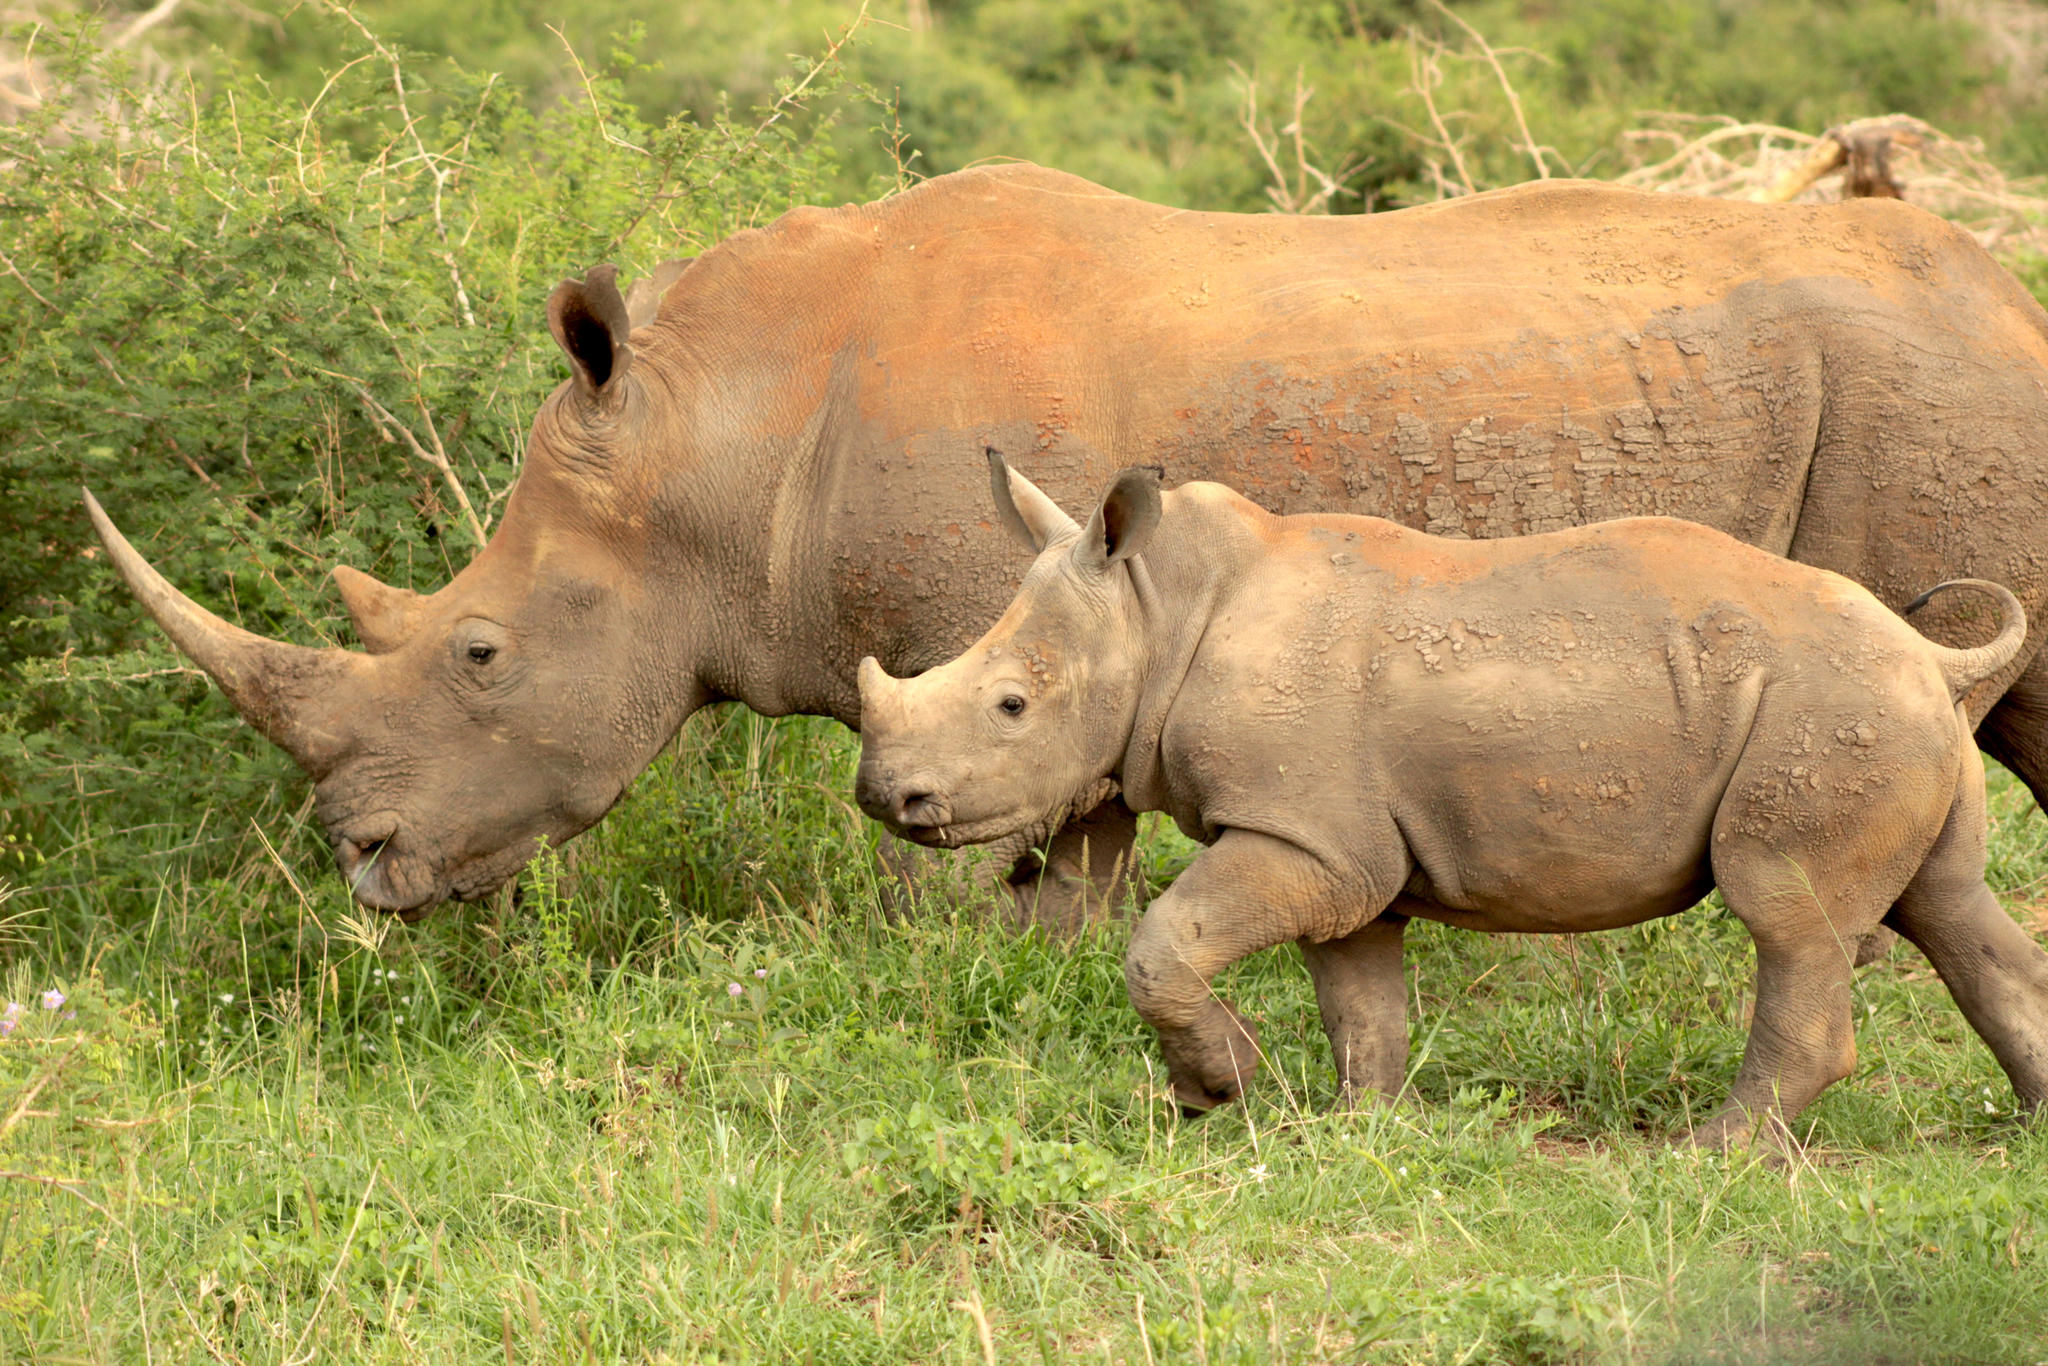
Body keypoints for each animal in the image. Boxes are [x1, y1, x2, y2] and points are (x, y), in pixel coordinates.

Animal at [84, 164, 2048, 927]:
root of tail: (2008, 296)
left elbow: (980, 868)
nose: (356, 855)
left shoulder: (989, 647)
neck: (709, 444)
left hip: (1941, 398)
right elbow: (1074, 865)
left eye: (478, 654)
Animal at [853, 456, 2048, 1145]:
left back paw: (1708, 1157)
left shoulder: (1304, 836)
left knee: (1785, 915)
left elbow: (1163, 944)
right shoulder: (1339, 851)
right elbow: (1359, 1001)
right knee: (1949, 910)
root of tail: (1931, 657)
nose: (884, 795)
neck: (1159, 609)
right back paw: (2029, 1137)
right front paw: (1356, 1129)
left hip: (1826, 710)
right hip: (1893, 719)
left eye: (1011, 705)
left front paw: (1217, 1095)